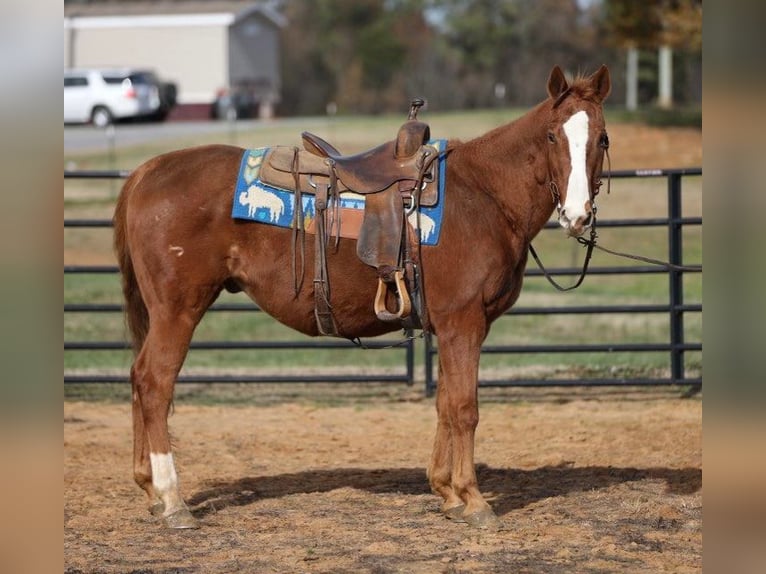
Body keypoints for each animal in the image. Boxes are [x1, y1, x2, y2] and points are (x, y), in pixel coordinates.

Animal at [112, 65, 612, 532]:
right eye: (552, 135)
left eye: (602, 138)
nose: (577, 214)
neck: (485, 195)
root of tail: (145, 173)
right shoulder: (463, 322)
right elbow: (464, 408)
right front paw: (473, 499)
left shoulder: (453, 327)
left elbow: (444, 404)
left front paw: (446, 493)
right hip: (178, 309)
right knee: (155, 382)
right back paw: (173, 500)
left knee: (138, 378)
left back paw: (150, 489)